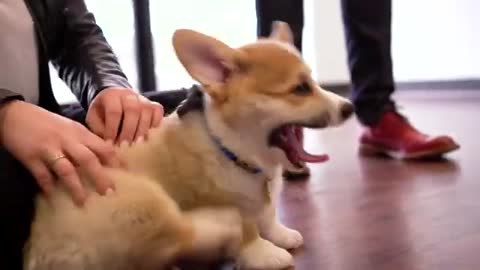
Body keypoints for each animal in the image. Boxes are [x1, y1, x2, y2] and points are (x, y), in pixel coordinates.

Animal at [24, 21, 354, 270]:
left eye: (313, 83)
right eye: (300, 89)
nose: (349, 108)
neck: (234, 150)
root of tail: (36, 253)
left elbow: (270, 215)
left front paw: (281, 235)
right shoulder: (234, 200)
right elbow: (249, 229)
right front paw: (264, 253)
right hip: (143, 199)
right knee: (183, 233)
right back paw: (218, 224)